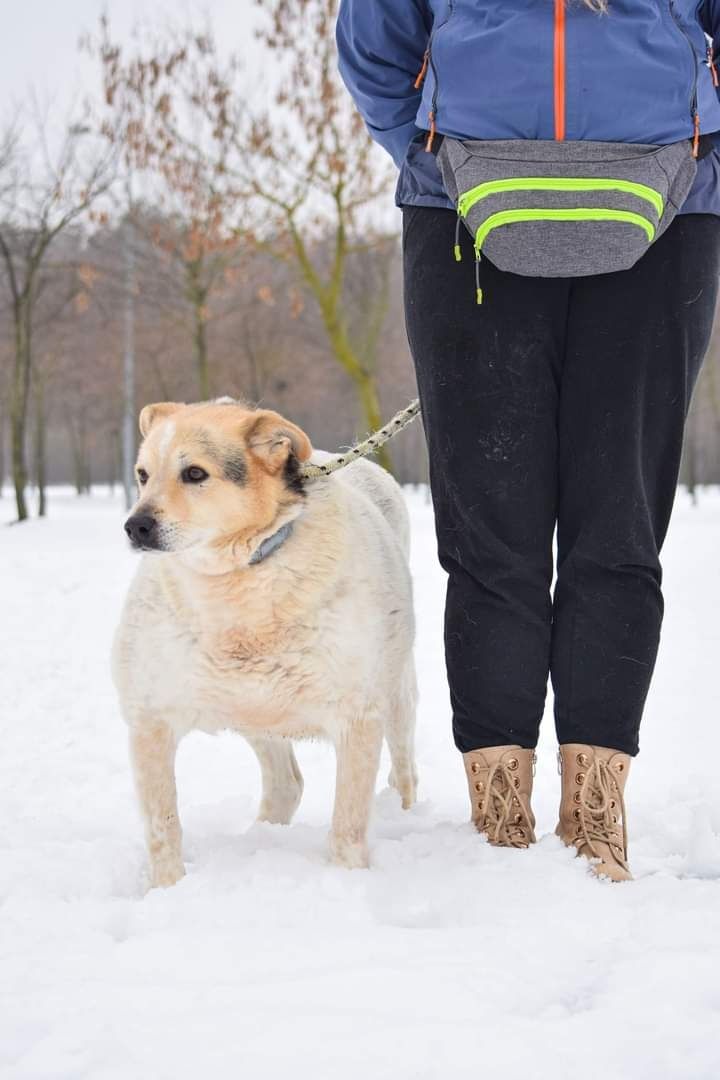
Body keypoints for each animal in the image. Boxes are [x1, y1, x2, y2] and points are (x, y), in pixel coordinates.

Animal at [110, 397, 418, 885]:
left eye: (194, 473)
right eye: (142, 474)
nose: (134, 526)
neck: (242, 579)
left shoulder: (358, 718)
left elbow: (347, 826)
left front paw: (348, 882)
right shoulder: (149, 720)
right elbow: (163, 828)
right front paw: (167, 890)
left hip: (396, 697)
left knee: (403, 770)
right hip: (254, 711)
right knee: (286, 784)